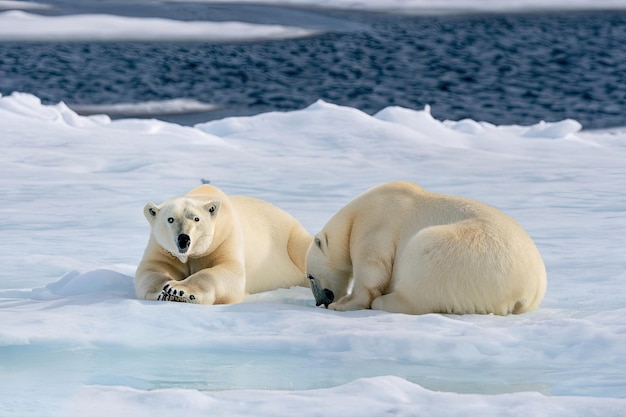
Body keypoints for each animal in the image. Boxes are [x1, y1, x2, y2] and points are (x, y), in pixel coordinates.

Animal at [136, 184, 312, 304]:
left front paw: (178, 290)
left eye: (196, 219)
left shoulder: (225, 237)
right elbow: (152, 269)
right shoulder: (162, 248)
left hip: (292, 238)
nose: (184, 239)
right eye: (170, 219)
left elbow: (228, 271)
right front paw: (164, 291)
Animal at [304, 180, 544, 314]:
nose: (319, 302)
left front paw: (342, 304)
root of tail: (525, 291)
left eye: (310, 276)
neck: (355, 215)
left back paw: (385, 301)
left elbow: (371, 270)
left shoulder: (378, 223)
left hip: (457, 259)